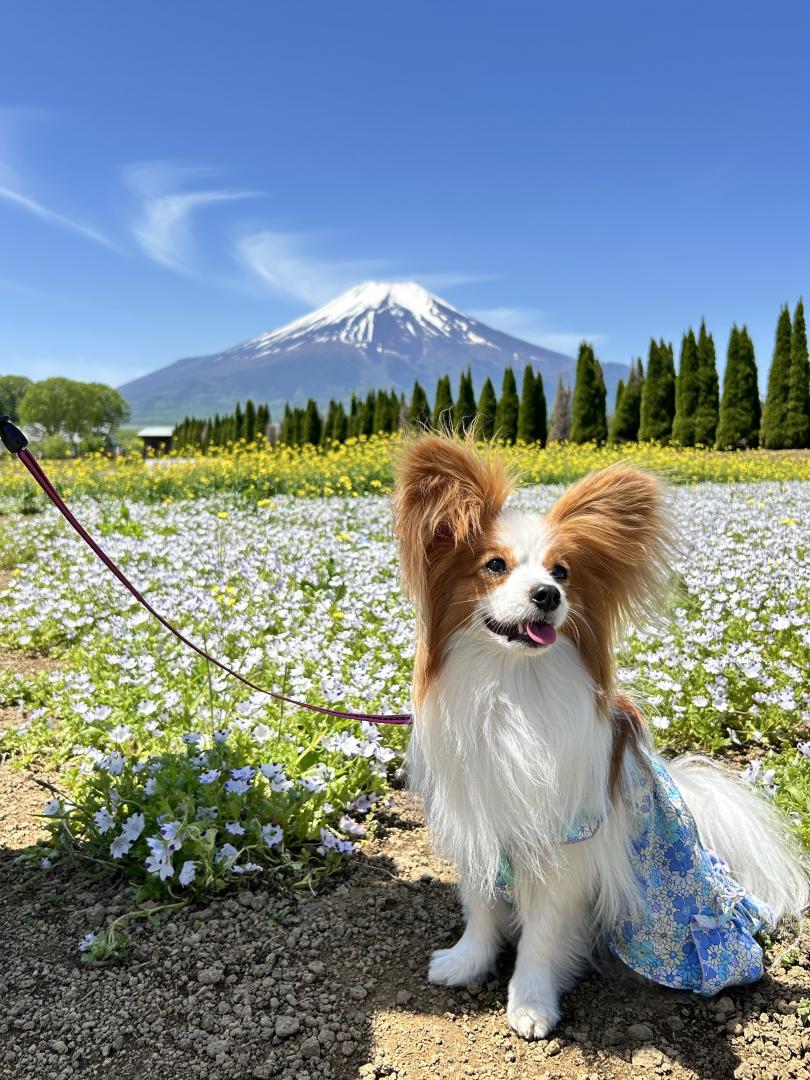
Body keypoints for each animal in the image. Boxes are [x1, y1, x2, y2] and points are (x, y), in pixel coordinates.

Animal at [390, 434, 807, 1041]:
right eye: (495, 566)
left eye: (562, 573)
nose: (545, 595)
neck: (513, 688)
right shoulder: (483, 825)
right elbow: (482, 906)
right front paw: (466, 963)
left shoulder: (563, 846)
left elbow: (541, 933)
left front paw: (531, 1004)